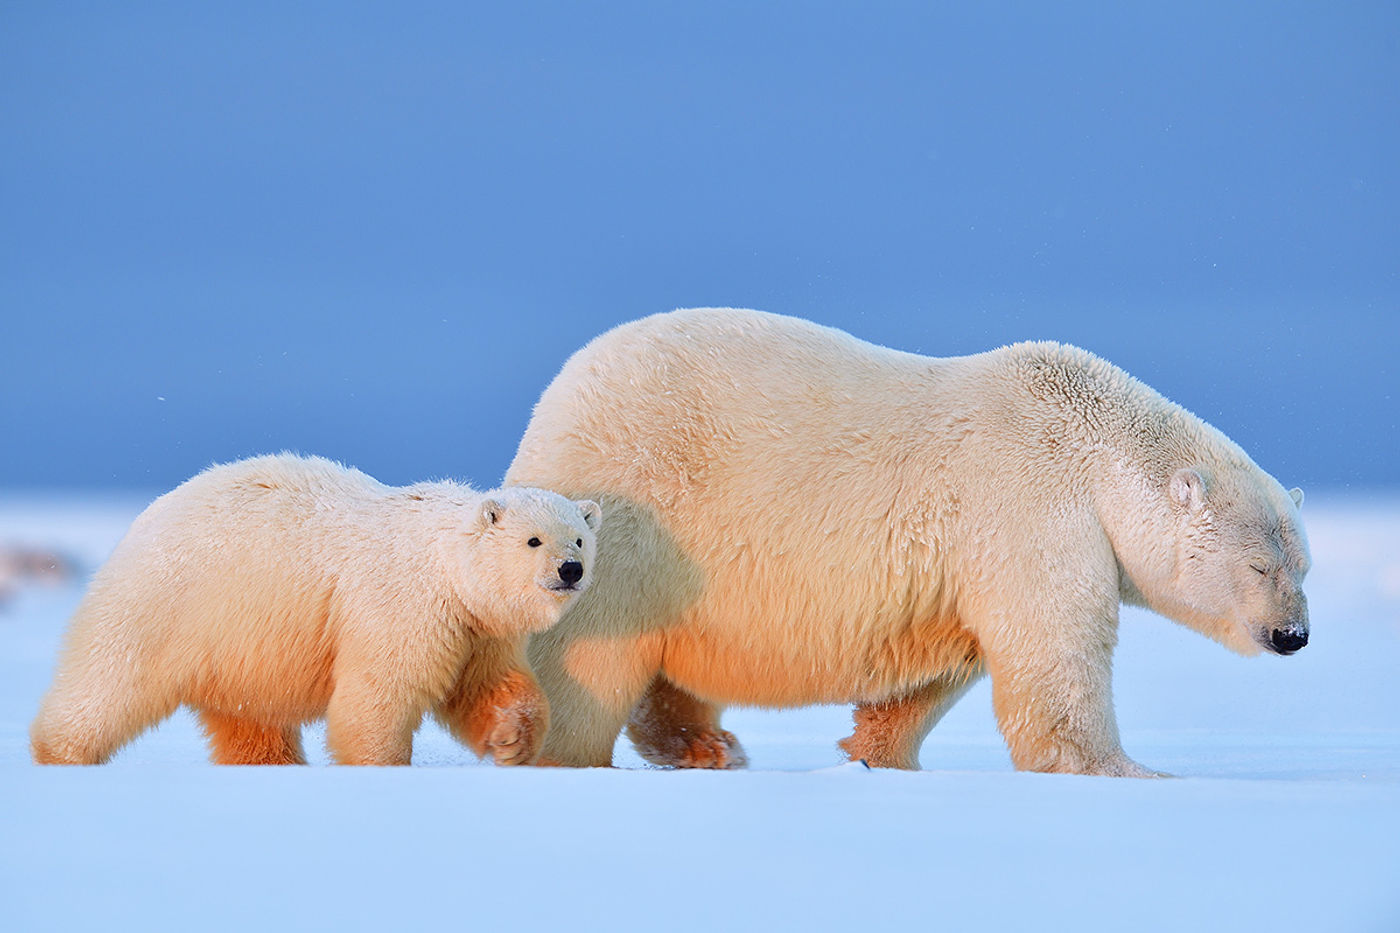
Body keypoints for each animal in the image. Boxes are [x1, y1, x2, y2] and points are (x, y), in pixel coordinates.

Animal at [31, 451, 602, 762]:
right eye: (533, 540)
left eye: (578, 538)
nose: (569, 570)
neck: (443, 559)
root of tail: (143, 519)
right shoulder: (401, 604)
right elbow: (378, 694)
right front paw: (383, 765)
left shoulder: (475, 626)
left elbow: (488, 685)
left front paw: (511, 740)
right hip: (168, 603)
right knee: (109, 682)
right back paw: (60, 752)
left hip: (237, 649)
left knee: (250, 721)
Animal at [506, 308, 1310, 773]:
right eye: (1258, 564)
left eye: (1304, 565)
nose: (1293, 635)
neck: (1092, 442)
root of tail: (554, 400)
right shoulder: (1033, 508)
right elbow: (1056, 649)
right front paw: (1132, 772)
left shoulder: (969, 557)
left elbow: (941, 666)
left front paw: (874, 755)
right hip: (638, 510)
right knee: (592, 650)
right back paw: (560, 752)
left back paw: (707, 746)